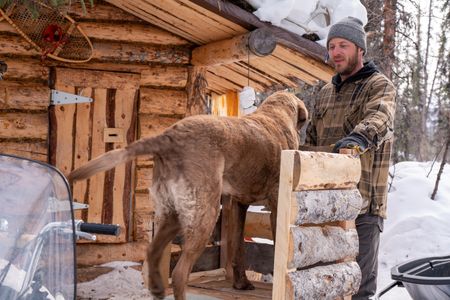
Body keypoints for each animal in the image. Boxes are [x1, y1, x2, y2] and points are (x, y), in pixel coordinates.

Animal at [68, 91, 308, 298]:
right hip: (205, 214)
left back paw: (157, 289)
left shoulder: (239, 204)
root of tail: (167, 137)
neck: (276, 116)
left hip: (171, 213)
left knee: (152, 255)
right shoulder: (275, 203)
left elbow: (237, 246)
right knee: (179, 273)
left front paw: (241, 284)